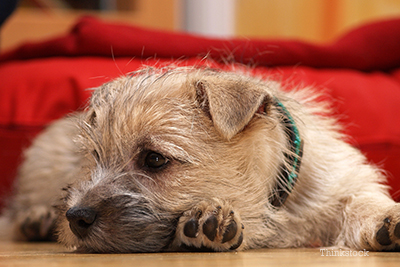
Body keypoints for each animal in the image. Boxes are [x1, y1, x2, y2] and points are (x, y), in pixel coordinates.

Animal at [0, 67, 400, 253]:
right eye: (96, 157)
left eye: (154, 159)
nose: (76, 217)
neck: (277, 204)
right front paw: (210, 222)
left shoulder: (343, 184)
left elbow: (362, 202)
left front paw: (388, 220)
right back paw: (37, 219)